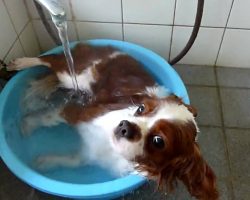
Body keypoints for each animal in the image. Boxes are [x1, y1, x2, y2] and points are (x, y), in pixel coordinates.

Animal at [7, 44, 219, 200]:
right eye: (140, 109)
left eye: (158, 141)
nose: (124, 126)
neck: (112, 147)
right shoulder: (80, 112)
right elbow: (47, 118)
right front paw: (27, 125)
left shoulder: (89, 153)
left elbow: (73, 159)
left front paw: (45, 161)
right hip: (73, 74)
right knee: (51, 59)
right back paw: (20, 62)